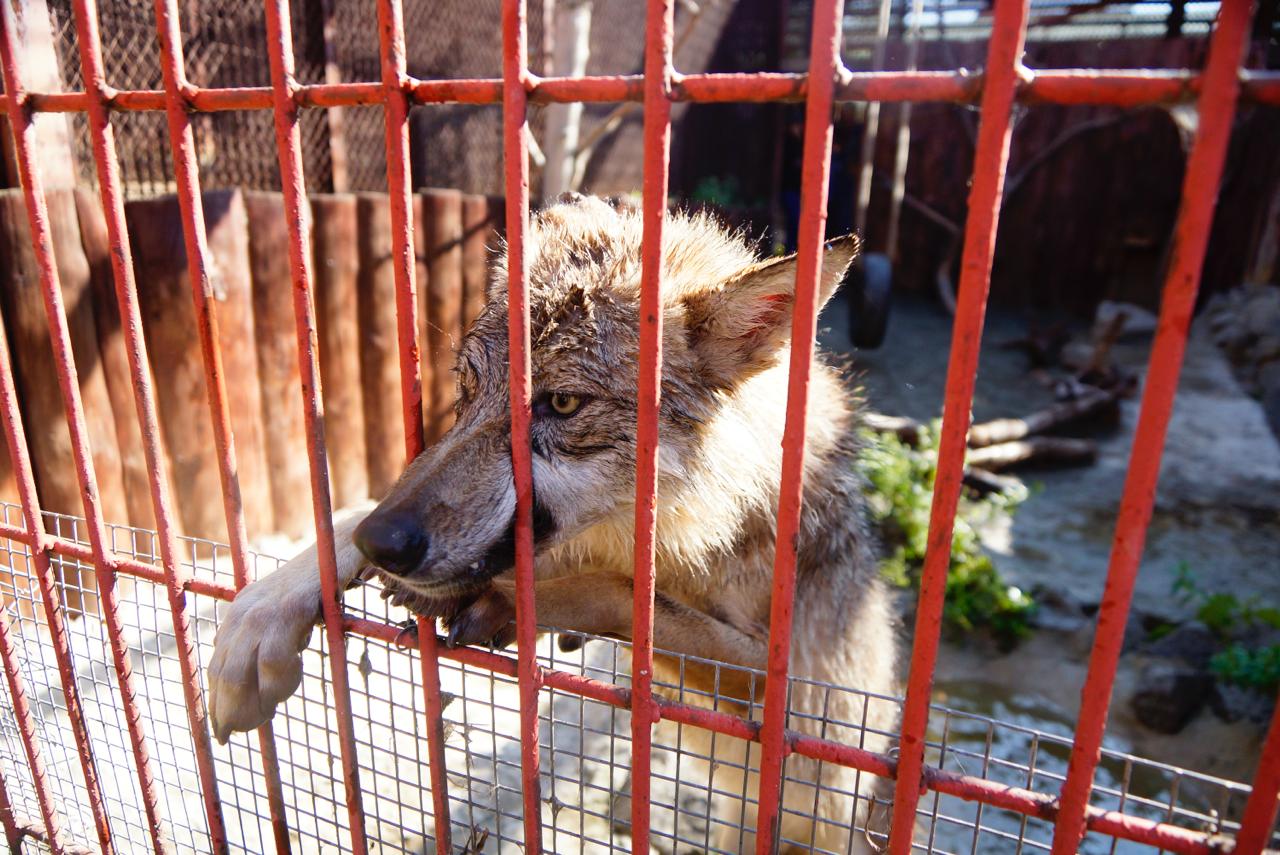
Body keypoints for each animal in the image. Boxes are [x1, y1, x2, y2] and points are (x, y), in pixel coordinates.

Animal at [208, 194, 899, 854]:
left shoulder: (783, 688)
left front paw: (504, 602)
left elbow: (624, 595)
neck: (701, 534)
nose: (382, 544)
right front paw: (256, 620)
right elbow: (349, 512)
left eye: (562, 404)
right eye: (467, 387)